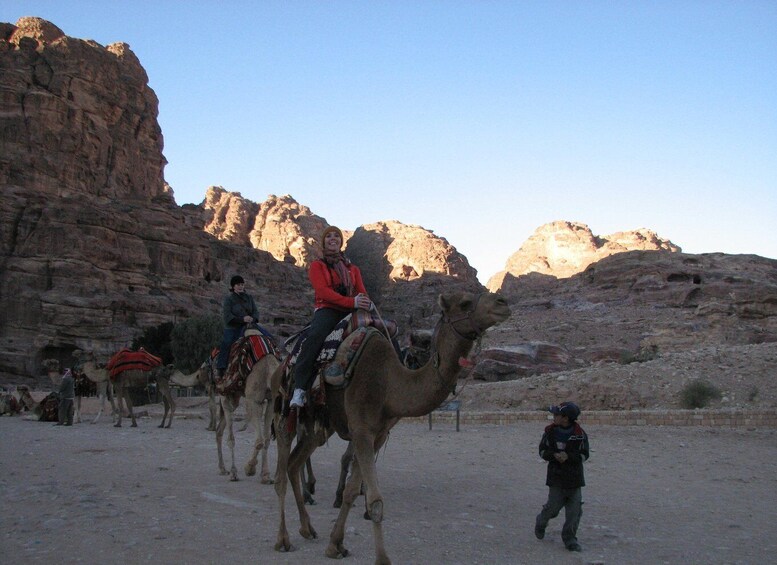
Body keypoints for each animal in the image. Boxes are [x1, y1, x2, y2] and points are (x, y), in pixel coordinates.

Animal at [272, 290, 510, 564]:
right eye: (464, 303)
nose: (503, 303)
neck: (388, 383)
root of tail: (282, 362)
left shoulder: (378, 435)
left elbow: (352, 491)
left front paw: (335, 544)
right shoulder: (361, 431)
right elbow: (375, 501)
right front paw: (381, 558)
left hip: (319, 426)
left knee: (294, 463)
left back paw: (307, 528)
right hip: (285, 410)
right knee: (281, 472)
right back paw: (283, 539)